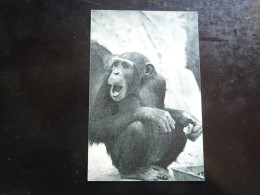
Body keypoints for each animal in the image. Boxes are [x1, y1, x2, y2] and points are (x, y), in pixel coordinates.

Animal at [89, 52, 203, 181]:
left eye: (125, 66)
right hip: (121, 162)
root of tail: (149, 165)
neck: (139, 84)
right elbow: (96, 123)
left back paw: (162, 168)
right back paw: (132, 172)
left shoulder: (160, 82)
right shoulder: (106, 84)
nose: (115, 72)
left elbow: (163, 108)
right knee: (136, 128)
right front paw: (151, 113)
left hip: (154, 158)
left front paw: (187, 117)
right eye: (116, 64)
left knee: (179, 132)